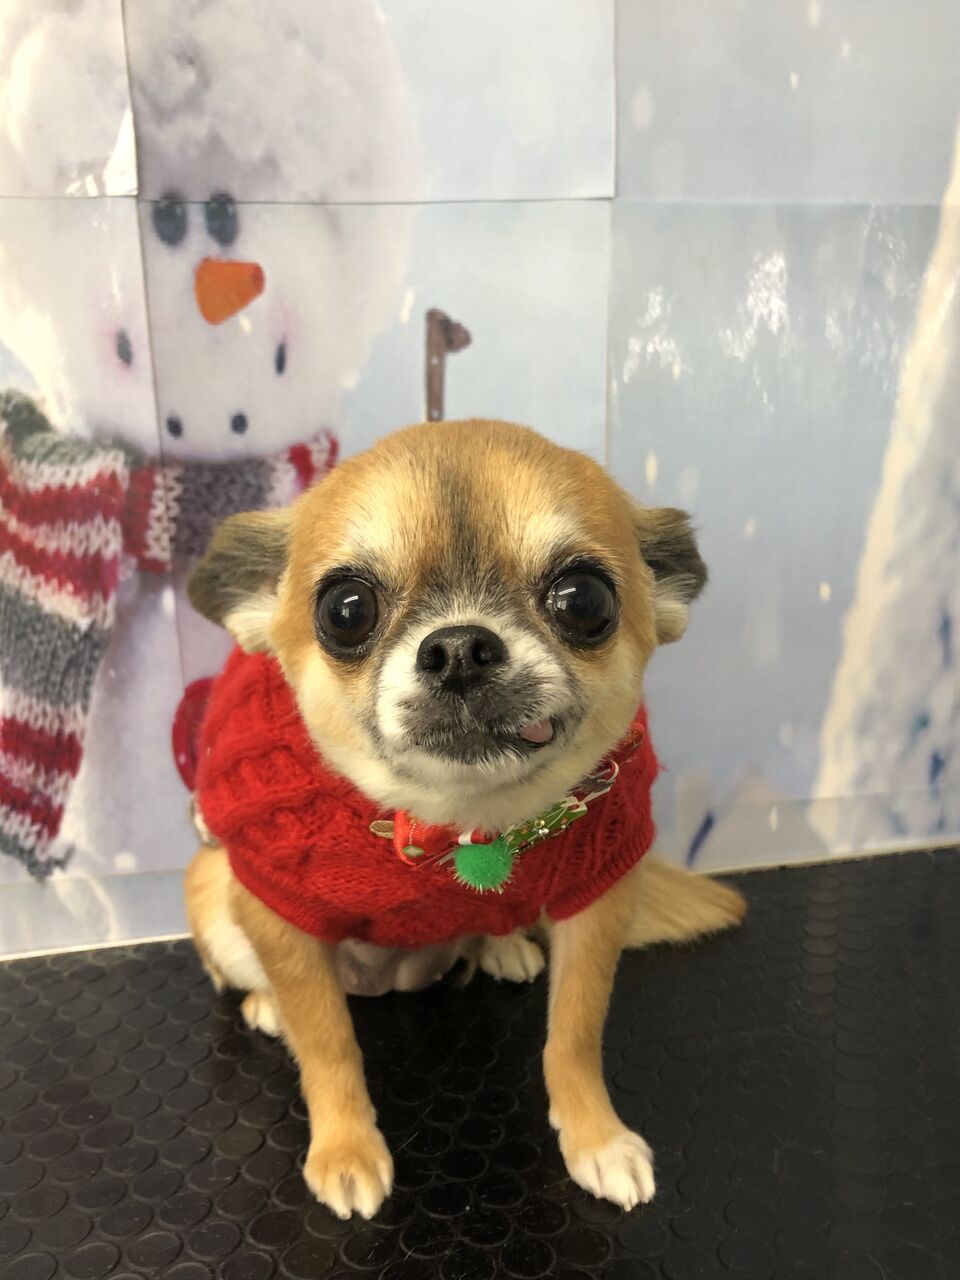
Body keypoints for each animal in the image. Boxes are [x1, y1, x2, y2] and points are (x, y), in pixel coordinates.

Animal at [184, 419, 745, 1219]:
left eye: (583, 599)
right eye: (345, 610)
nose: (458, 648)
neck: (458, 822)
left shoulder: (597, 898)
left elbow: (574, 1035)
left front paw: (596, 1137)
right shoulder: (277, 906)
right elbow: (327, 1043)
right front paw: (346, 1147)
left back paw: (502, 946)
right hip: (213, 898)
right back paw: (268, 1004)